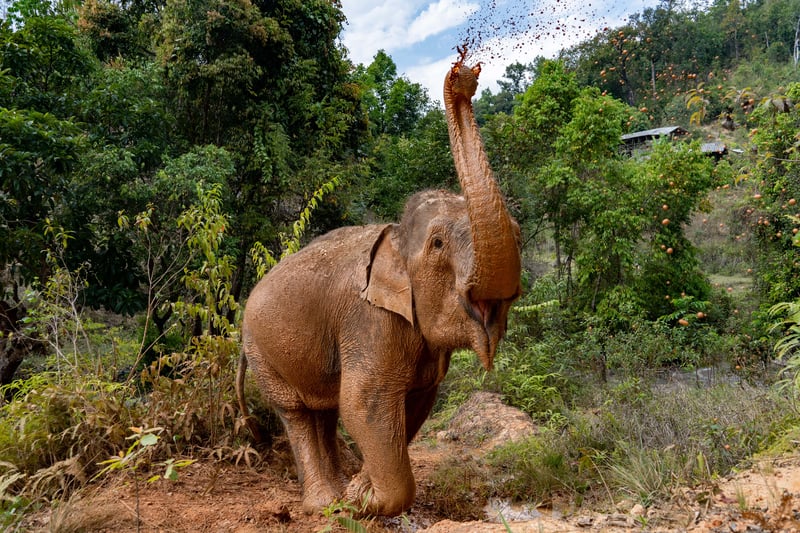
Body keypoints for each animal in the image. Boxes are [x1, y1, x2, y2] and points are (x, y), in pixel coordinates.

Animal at [236, 47, 522, 517]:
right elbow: (366, 402)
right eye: (438, 244)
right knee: (297, 412)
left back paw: (337, 491)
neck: (396, 237)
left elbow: (412, 402)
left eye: (518, 232)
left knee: (323, 409)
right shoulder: (369, 320)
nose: (463, 75)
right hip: (262, 352)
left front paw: (360, 490)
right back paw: (323, 504)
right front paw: (361, 500)